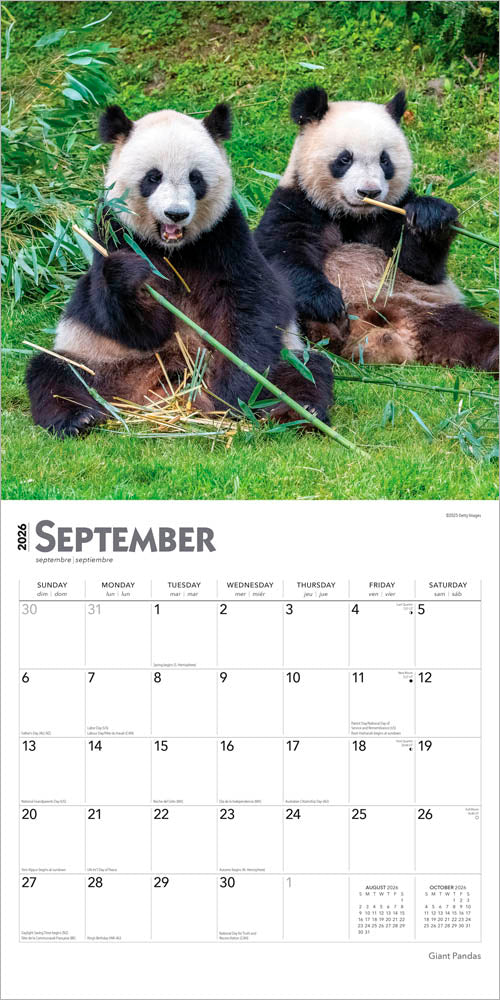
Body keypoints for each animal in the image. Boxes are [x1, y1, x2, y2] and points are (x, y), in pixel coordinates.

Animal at [26, 102, 332, 437]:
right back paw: (78, 418)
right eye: (153, 177)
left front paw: (233, 393)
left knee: (306, 370)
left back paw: (296, 412)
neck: (174, 249)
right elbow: (133, 323)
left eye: (195, 178)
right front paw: (129, 275)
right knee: (55, 373)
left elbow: (250, 306)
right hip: (101, 362)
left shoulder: (225, 237)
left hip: (286, 356)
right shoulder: (113, 234)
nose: (176, 213)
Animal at [256, 86, 498, 371]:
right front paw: (326, 302)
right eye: (345, 159)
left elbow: (421, 267)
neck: (353, 216)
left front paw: (431, 217)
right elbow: (284, 257)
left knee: (473, 333)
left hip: (429, 308)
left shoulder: (391, 212)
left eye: (385, 160)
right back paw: (331, 326)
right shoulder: (294, 205)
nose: (369, 192)